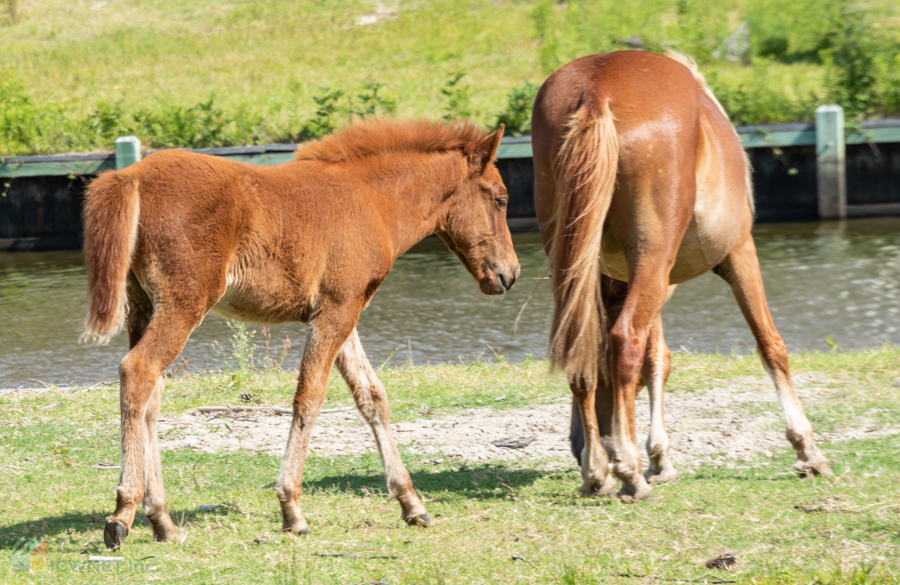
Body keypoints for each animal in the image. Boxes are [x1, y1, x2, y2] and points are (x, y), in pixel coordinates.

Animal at [86, 118, 520, 548]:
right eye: (501, 199)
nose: (510, 275)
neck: (371, 200)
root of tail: (131, 175)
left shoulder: (344, 312)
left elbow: (372, 397)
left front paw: (411, 503)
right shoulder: (335, 312)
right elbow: (309, 399)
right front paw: (292, 508)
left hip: (143, 306)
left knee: (150, 396)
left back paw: (161, 519)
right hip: (185, 303)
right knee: (138, 371)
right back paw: (122, 513)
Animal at [532, 49, 832, 502]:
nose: (577, 444)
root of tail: (598, 88)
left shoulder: (627, 279)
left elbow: (656, 359)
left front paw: (657, 458)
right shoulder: (739, 253)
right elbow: (770, 345)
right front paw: (806, 448)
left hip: (578, 263)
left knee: (584, 351)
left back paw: (598, 471)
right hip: (654, 260)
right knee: (625, 340)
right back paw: (627, 472)